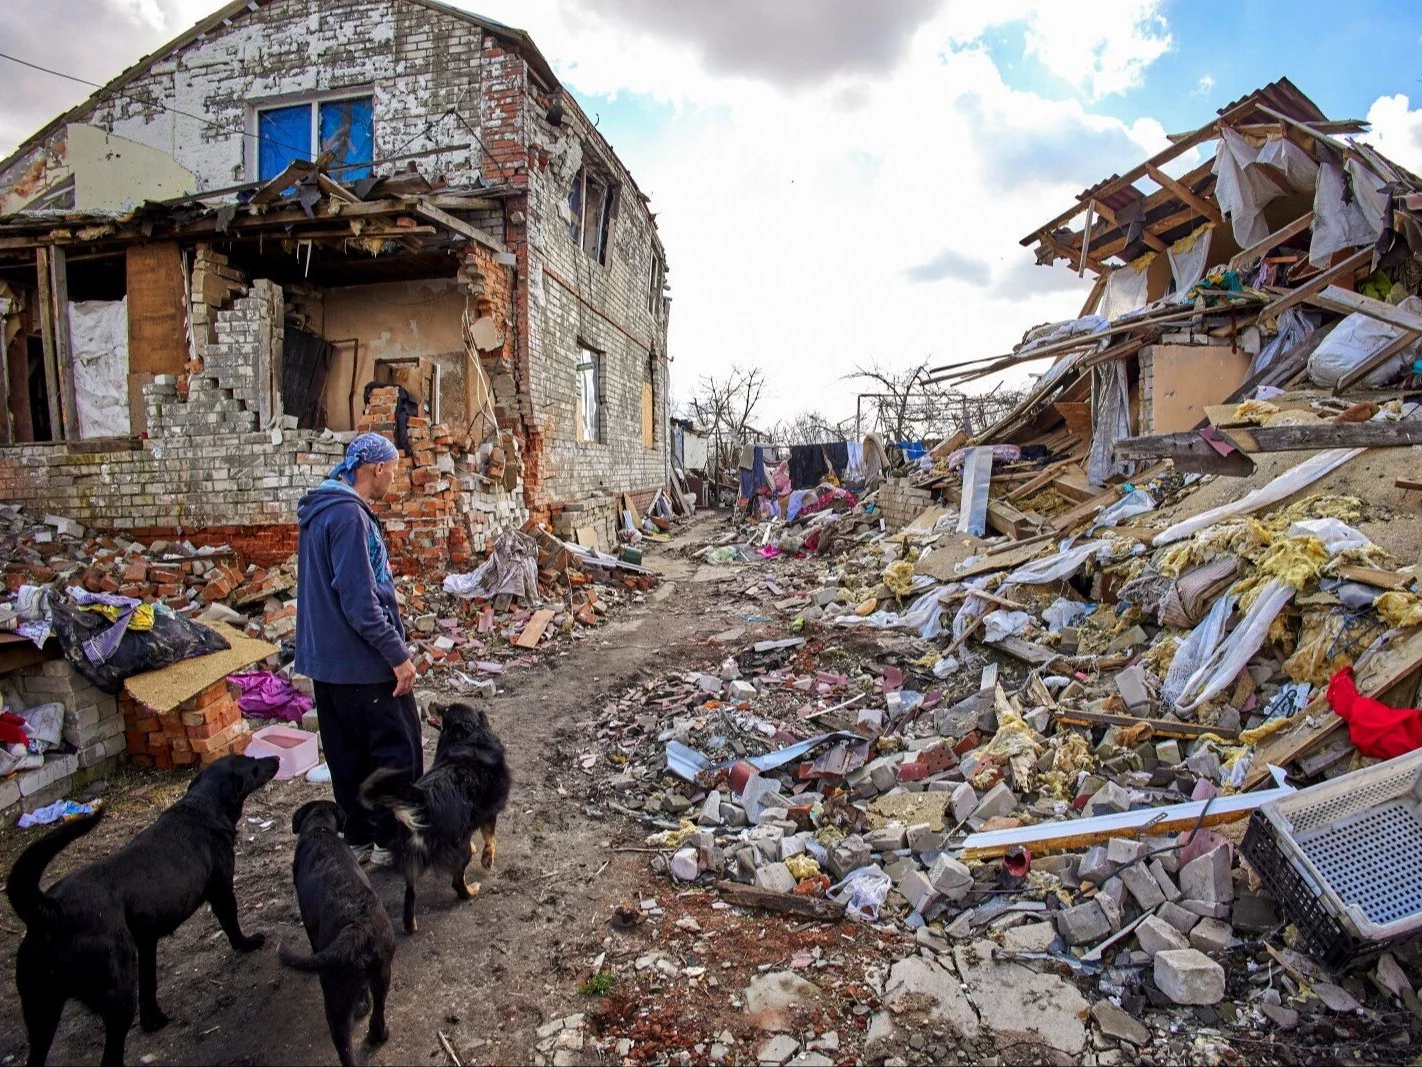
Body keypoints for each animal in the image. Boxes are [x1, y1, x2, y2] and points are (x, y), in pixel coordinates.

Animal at [6, 756, 275, 1064]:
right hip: (117, 993)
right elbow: (231, 923)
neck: (199, 807)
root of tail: (50, 910)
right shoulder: (220, 889)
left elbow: (149, 984)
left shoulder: (147, 940)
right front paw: (246, 943)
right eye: (254, 766)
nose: (276, 759)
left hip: (41, 1008)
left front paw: (152, 1020)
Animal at [281, 802, 398, 1067]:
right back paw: (378, 1033)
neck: (320, 831)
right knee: (378, 1012)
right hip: (382, 974)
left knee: (344, 1046)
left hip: (334, 995)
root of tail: (356, 930)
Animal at [361, 711, 511, 933]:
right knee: (457, 882)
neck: (471, 739)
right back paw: (470, 892)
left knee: (410, 893)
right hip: (459, 852)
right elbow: (490, 838)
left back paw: (410, 925)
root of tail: (424, 799)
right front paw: (487, 859)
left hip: (411, 858)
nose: (433, 706)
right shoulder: (489, 813)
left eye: (445, 711)